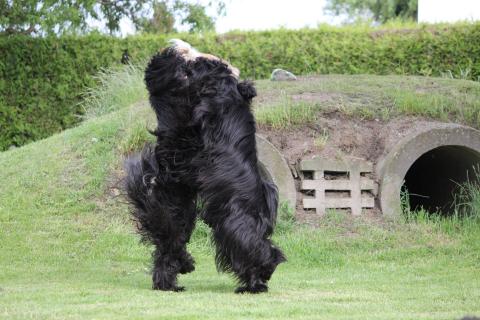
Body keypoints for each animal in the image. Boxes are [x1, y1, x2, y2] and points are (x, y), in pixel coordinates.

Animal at [125, 41, 286, 294]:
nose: (195, 60)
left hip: (232, 224)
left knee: (256, 250)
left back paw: (256, 282)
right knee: (170, 248)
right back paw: (172, 281)